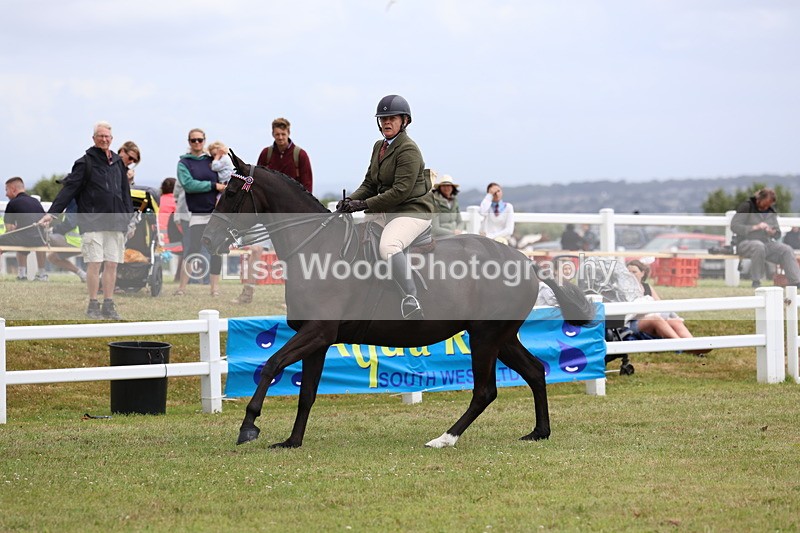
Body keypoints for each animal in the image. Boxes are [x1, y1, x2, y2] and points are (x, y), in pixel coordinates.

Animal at [202, 151, 596, 448]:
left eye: (232, 192)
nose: (208, 240)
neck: (316, 249)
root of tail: (526, 262)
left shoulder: (317, 331)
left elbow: (271, 365)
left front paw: (248, 426)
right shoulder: (318, 339)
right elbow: (307, 393)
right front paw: (292, 441)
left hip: (486, 336)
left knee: (485, 390)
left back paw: (444, 439)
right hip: (501, 336)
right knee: (534, 371)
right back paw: (538, 432)